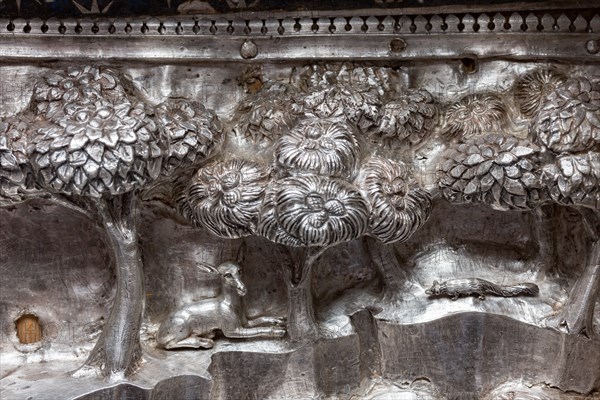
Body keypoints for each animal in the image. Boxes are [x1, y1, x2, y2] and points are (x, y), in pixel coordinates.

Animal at [156, 260, 284, 348]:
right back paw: (205, 342)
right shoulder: (232, 330)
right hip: (182, 325)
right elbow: (259, 329)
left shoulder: (245, 322)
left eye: (239, 270)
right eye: (227, 275)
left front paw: (279, 320)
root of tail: (158, 335)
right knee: (170, 344)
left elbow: (262, 318)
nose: (242, 289)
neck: (230, 305)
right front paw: (279, 331)